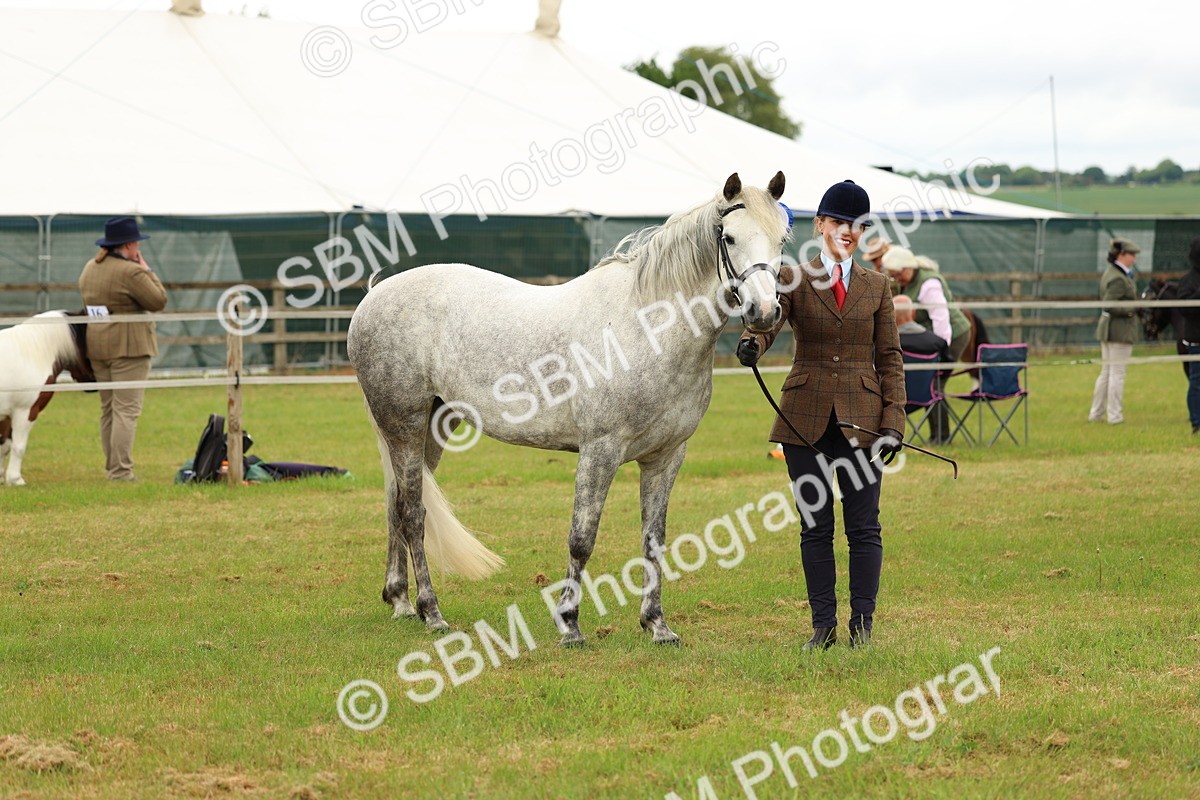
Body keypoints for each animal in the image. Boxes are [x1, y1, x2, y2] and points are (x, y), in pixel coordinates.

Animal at [0, 310, 95, 486]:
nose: (93, 382)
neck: (31, 354)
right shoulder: (26, 411)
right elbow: (19, 446)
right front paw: (16, 479)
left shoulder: (7, 414)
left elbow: (4, 445)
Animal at [348, 172, 788, 646]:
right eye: (729, 237)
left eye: (782, 240)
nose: (765, 312)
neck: (646, 327)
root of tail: (374, 295)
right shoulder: (600, 451)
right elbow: (582, 538)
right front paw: (570, 623)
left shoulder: (666, 457)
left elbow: (653, 540)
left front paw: (657, 624)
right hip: (405, 426)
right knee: (413, 513)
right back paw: (431, 612)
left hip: (432, 427)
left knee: (396, 505)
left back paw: (400, 601)